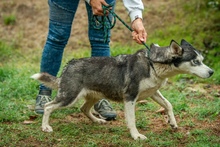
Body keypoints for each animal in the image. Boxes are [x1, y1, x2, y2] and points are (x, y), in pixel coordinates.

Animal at [31, 39, 213, 140]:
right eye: (195, 62)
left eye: (202, 60)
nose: (211, 72)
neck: (153, 63)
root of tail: (69, 64)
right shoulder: (130, 98)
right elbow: (132, 120)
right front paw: (136, 136)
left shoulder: (154, 93)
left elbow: (168, 104)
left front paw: (173, 123)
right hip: (68, 97)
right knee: (48, 106)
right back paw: (45, 127)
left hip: (94, 96)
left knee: (83, 109)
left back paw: (97, 120)